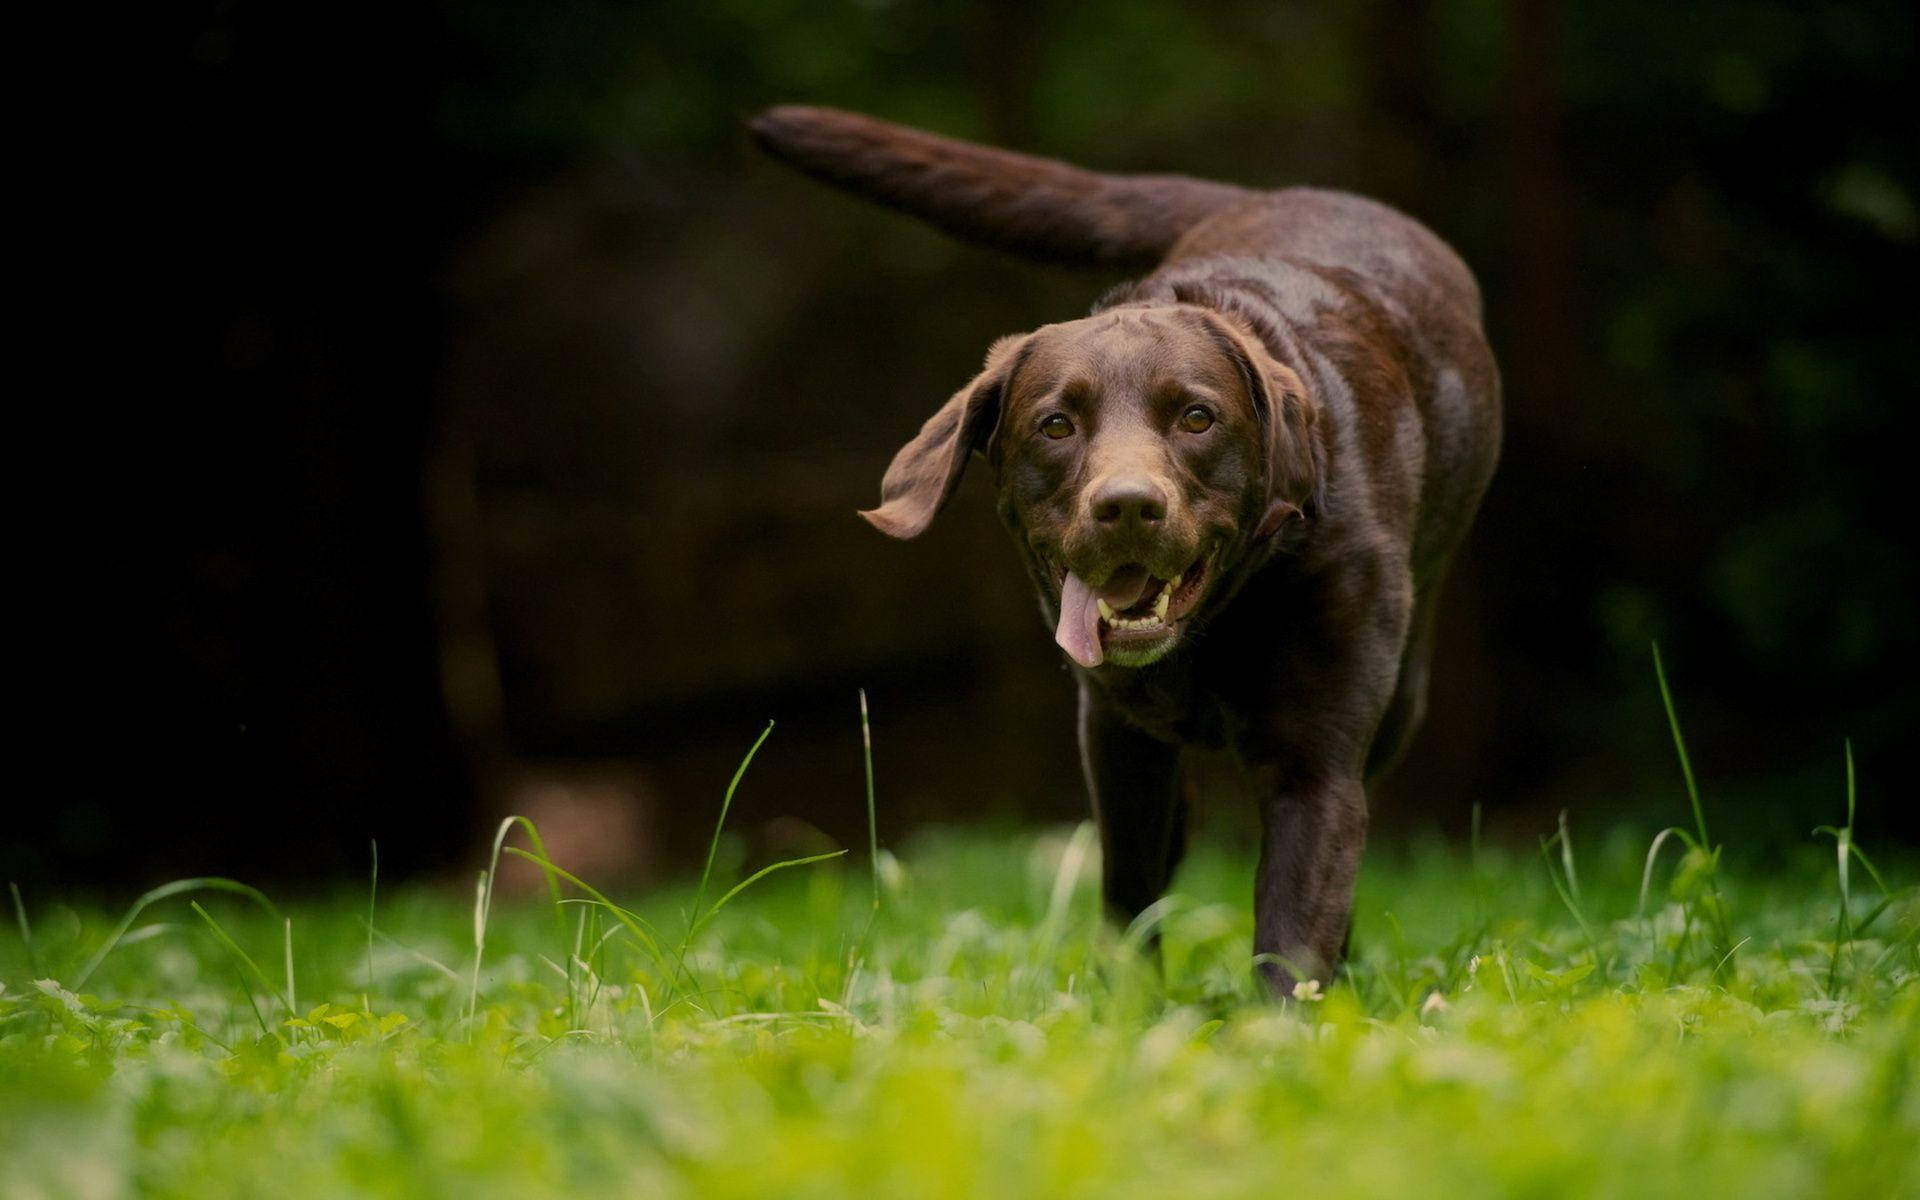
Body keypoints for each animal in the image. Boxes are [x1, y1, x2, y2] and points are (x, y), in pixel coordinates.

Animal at [748, 105, 1497, 990]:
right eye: (1056, 425)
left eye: (1198, 417)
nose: (1128, 506)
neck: (1215, 625)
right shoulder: (1116, 740)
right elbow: (1130, 896)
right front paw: (1128, 1005)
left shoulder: (1317, 760)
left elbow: (1294, 921)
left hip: (1402, 695)